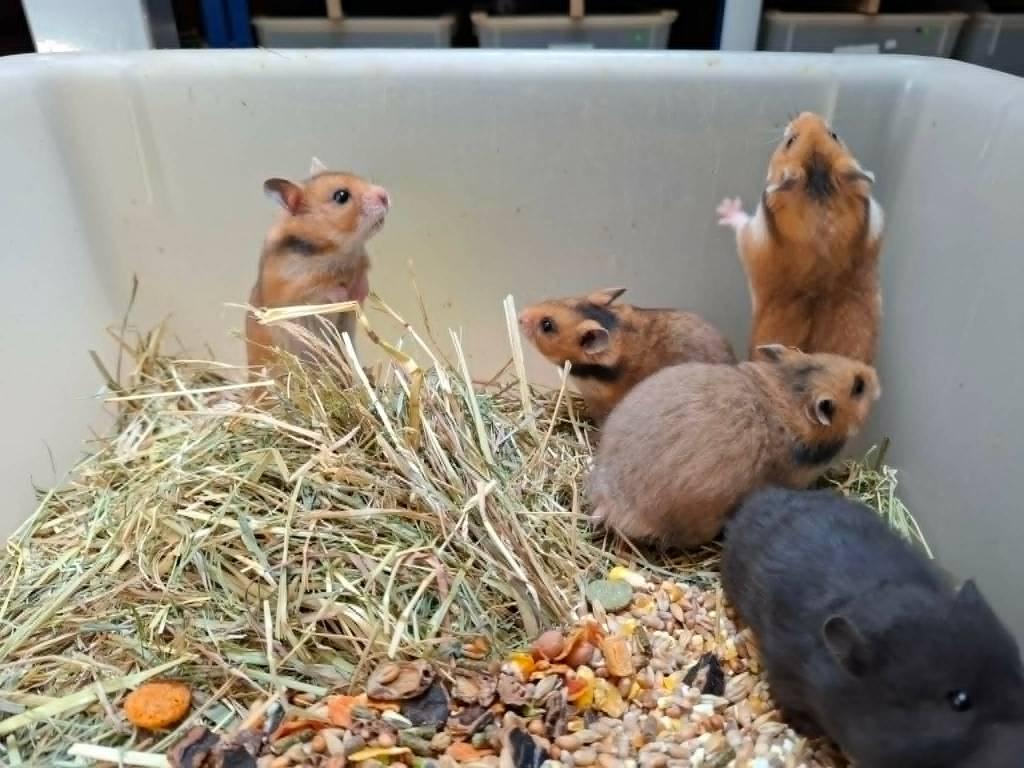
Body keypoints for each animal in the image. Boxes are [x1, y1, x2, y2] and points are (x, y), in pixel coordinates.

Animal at [245, 157, 390, 374]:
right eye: (341, 196)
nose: (385, 196)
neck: (337, 250)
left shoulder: (361, 262)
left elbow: (363, 279)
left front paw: (357, 293)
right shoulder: (299, 290)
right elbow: (326, 290)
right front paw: (345, 295)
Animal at [717, 112, 883, 364]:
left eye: (789, 141)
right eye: (834, 134)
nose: (807, 113)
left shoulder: (754, 239)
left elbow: (741, 224)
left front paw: (726, 206)